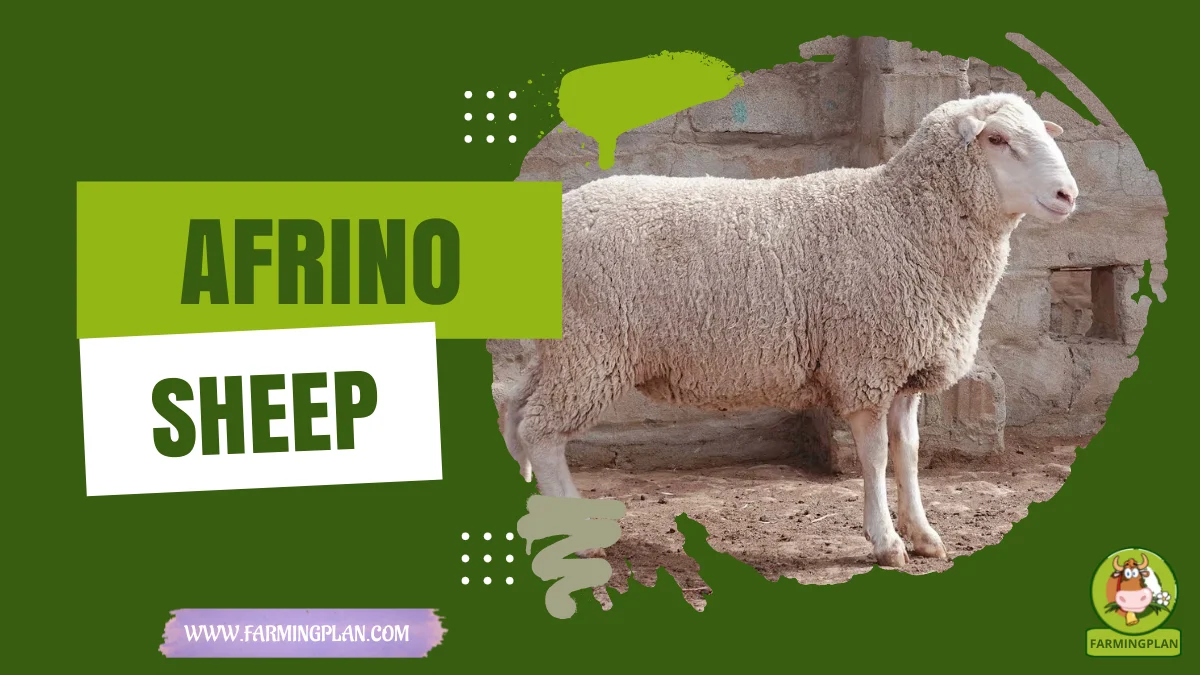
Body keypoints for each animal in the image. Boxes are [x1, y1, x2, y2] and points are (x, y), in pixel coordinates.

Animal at [498, 92, 1078, 567]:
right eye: (997, 139)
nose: (1068, 195)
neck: (903, 220)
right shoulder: (865, 365)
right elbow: (876, 457)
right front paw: (886, 542)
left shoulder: (906, 368)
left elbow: (910, 453)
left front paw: (923, 534)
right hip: (589, 349)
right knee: (541, 432)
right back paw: (577, 533)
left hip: (561, 349)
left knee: (514, 411)